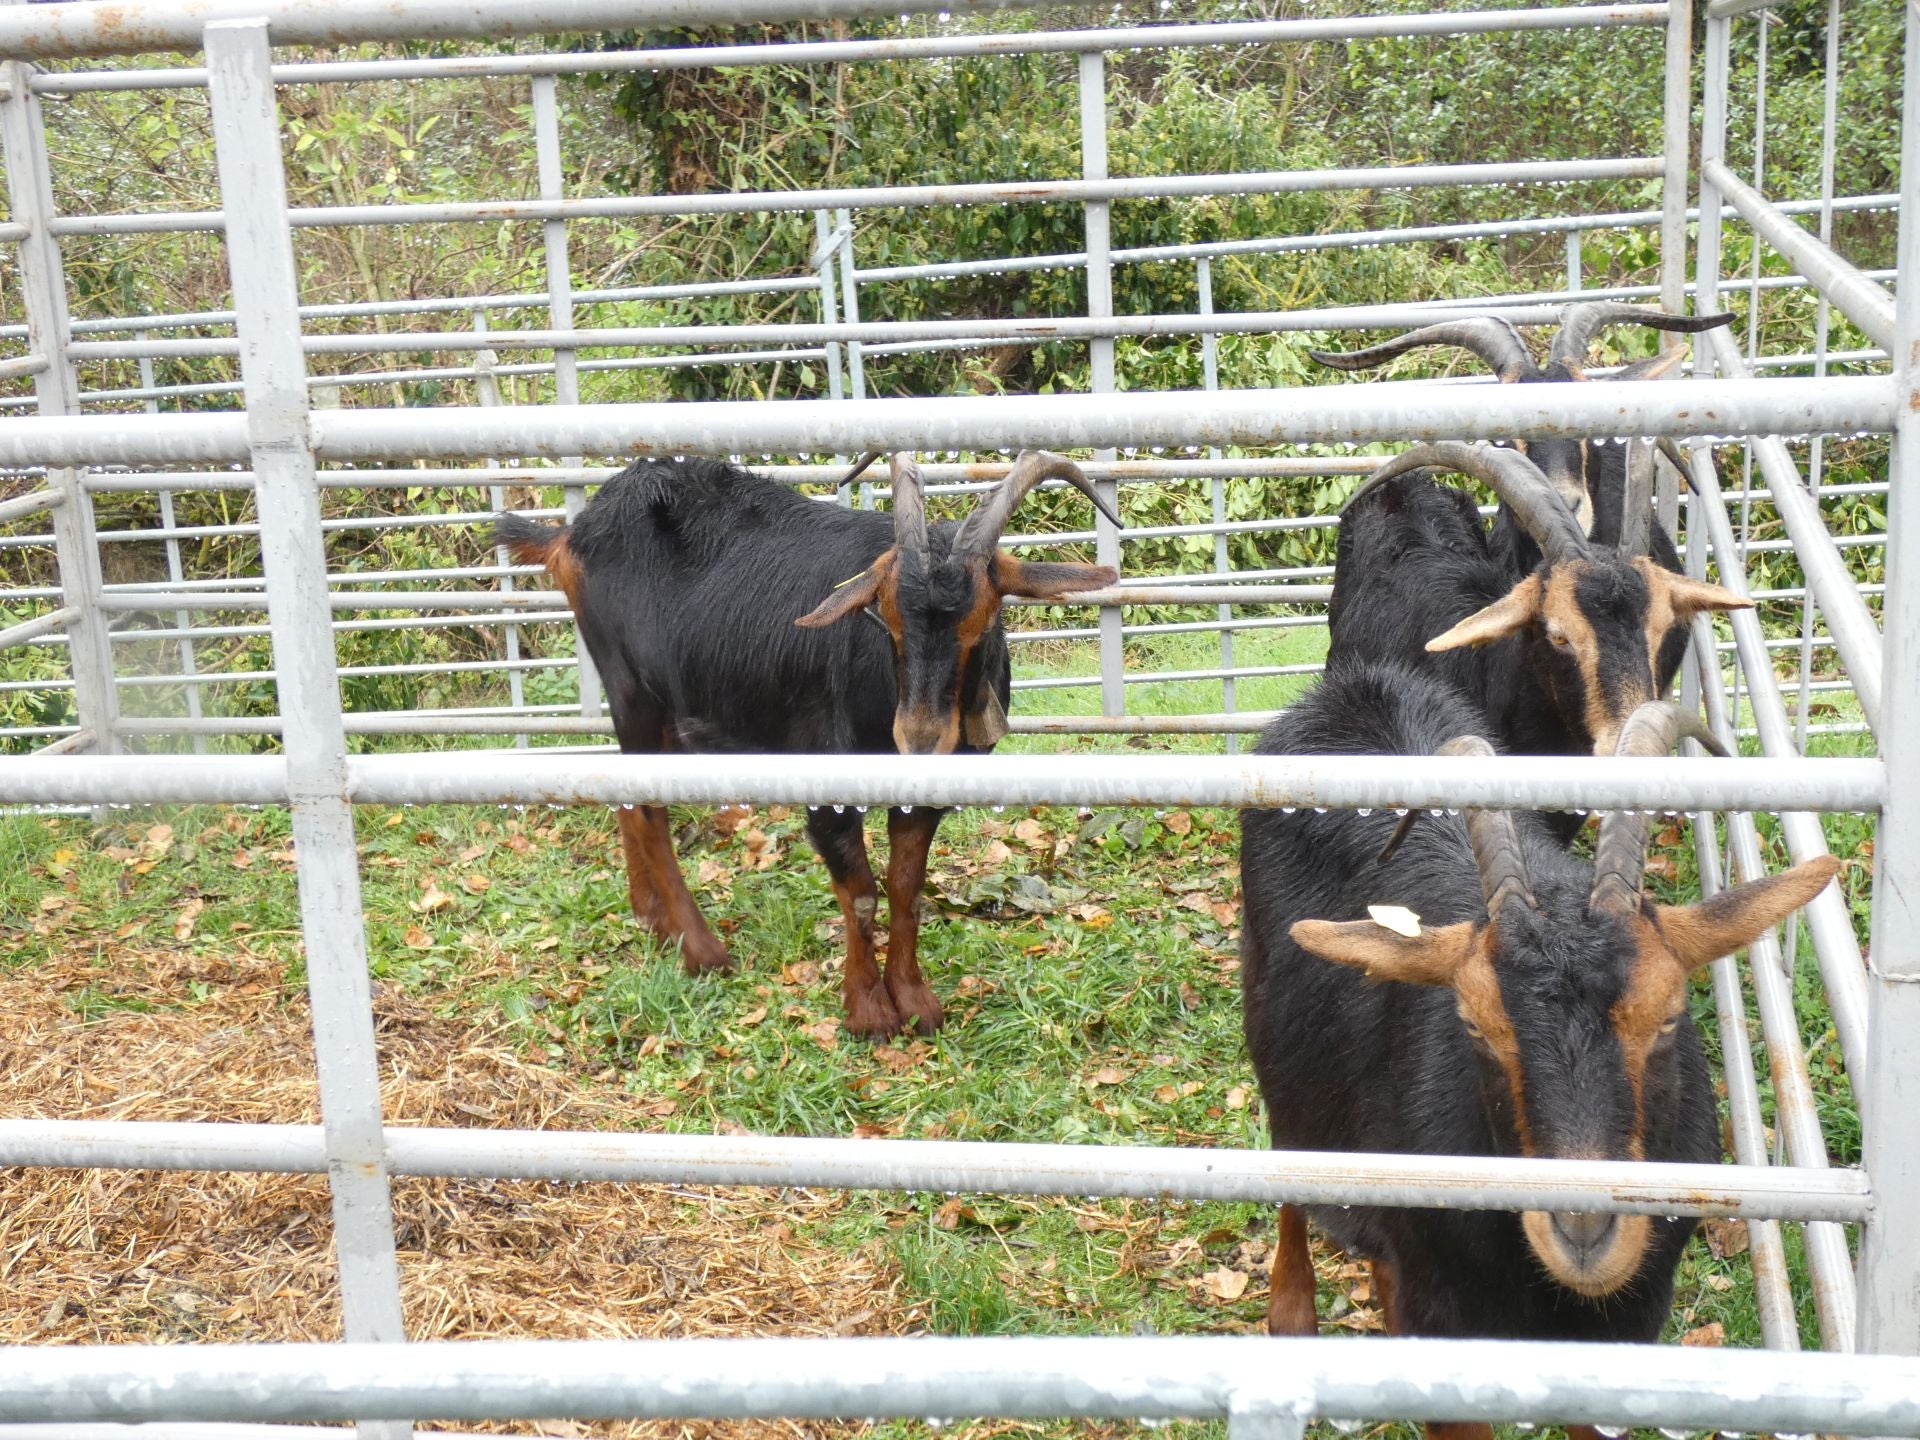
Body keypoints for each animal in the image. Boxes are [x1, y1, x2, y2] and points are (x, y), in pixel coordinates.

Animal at [495, 451, 1121, 1036]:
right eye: (886, 617)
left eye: (985, 620)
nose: (919, 737)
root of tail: (573, 532)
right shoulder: (828, 789)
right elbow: (860, 893)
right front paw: (869, 1011)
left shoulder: (925, 796)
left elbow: (906, 888)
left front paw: (915, 1001)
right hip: (631, 689)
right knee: (649, 808)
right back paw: (702, 951)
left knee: (630, 797)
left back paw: (653, 921)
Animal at [1244, 660, 1843, 1436]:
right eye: (1473, 1024)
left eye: (1670, 1015)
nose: (1584, 1229)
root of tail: (1348, 693)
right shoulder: (1446, 1319)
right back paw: (1291, 1318)